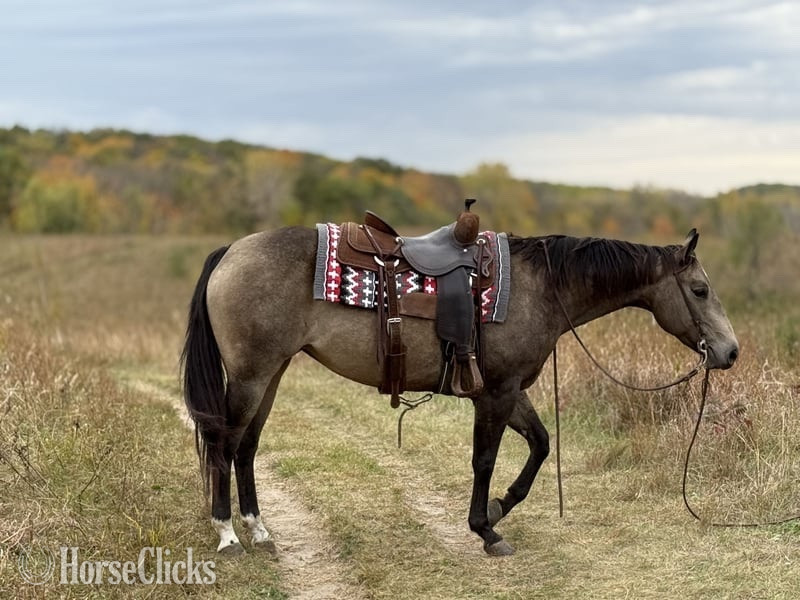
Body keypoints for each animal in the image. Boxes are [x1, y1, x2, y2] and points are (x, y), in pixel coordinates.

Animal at [181, 226, 738, 556]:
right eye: (700, 290)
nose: (730, 352)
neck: (541, 287)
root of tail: (231, 250)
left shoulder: (509, 389)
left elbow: (540, 444)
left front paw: (498, 507)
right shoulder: (496, 393)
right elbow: (485, 459)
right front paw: (485, 529)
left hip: (271, 373)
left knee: (247, 446)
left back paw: (259, 529)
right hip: (252, 375)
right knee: (224, 444)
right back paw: (227, 533)